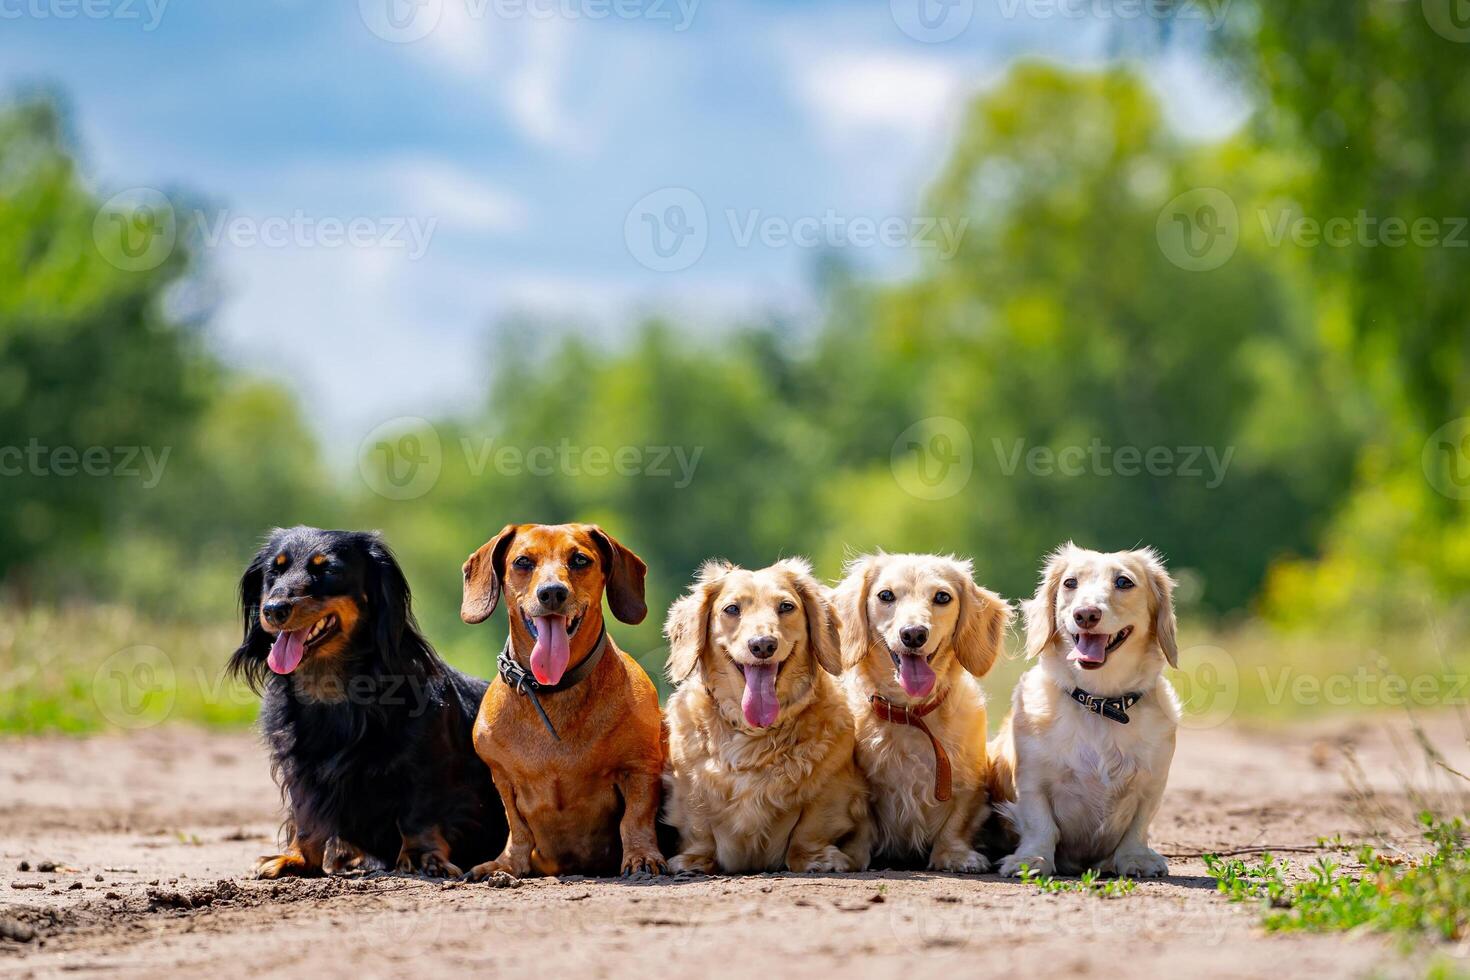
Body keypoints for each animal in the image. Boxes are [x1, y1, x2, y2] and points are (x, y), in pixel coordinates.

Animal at [229, 528, 505, 881]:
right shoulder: (301, 769)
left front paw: (420, 856)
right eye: (273, 571)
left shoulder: (426, 761)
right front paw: (295, 858)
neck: (332, 692)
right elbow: (306, 818)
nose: (274, 610)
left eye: (328, 570)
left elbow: (419, 812)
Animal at [667, 558, 870, 875]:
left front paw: (815, 858)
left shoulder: (831, 787)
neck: (755, 733)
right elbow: (699, 826)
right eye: (732, 609)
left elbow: (809, 828)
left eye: (786, 606)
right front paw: (694, 860)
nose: (762, 644)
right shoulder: (689, 786)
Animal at [840, 552, 1011, 875]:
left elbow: (957, 822)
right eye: (885, 595)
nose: (914, 634)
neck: (912, 713)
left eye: (942, 597)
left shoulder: (969, 782)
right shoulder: (862, 787)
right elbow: (862, 825)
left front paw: (955, 855)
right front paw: (852, 857)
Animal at [987, 543, 1181, 881]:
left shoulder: (1152, 784)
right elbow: (1041, 825)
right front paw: (1032, 860)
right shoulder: (1032, 781)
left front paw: (1135, 858)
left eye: (1124, 582)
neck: (1099, 702)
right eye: (1070, 583)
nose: (1086, 614)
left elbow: (1138, 827)